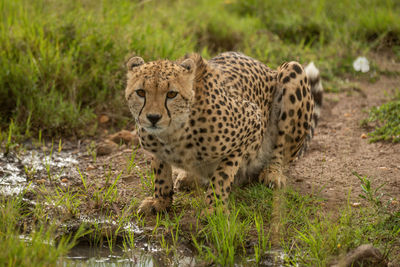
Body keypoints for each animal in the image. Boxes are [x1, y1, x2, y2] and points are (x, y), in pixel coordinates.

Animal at [125, 51, 322, 216]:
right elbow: (161, 171)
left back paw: (272, 173)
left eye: (172, 94)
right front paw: (160, 201)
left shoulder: (252, 121)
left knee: (281, 152)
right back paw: (187, 176)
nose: (153, 117)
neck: (174, 132)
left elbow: (223, 175)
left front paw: (215, 208)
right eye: (141, 92)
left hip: (293, 70)